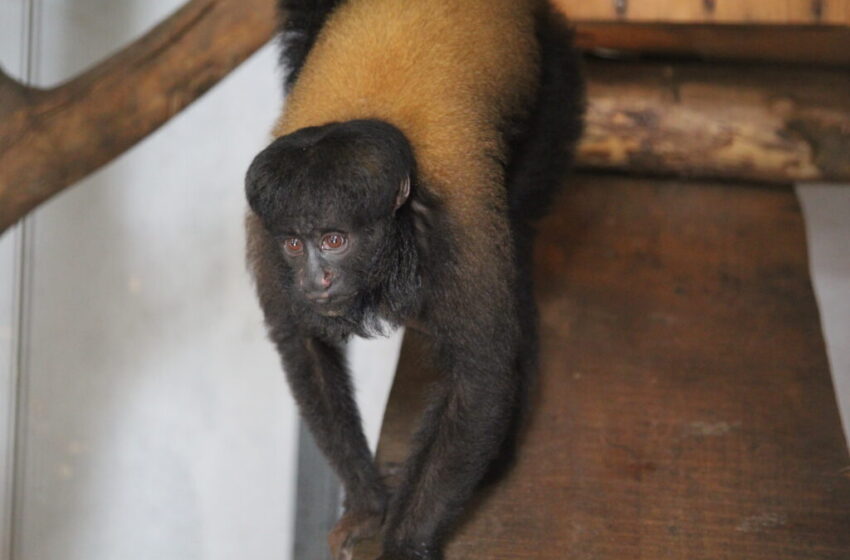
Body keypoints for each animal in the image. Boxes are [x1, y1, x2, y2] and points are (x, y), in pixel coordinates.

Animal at [242, 1, 580, 560]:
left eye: (334, 240)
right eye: (294, 244)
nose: (316, 278)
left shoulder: (458, 230)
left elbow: (481, 373)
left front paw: (405, 541)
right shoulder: (265, 239)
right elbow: (304, 348)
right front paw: (367, 505)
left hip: (554, 83)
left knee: (518, 236)